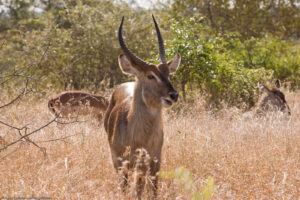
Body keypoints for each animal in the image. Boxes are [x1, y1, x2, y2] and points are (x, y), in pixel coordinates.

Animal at [104, 16, 180, 198]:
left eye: (168, 74)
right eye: (150, 75)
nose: (173, 95)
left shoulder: (154, 162)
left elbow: (151, 191)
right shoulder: (122, 163)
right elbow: (129, 190)